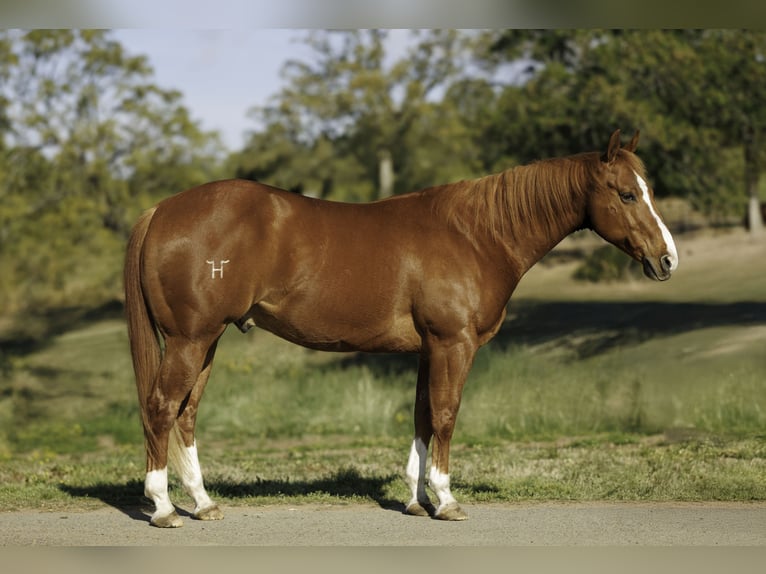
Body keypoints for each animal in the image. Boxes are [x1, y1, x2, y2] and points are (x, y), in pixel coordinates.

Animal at [124, 129, 678, 527]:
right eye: (627, 195)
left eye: (647, 190)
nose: (667, 259)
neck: (475, 235)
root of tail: (161, 210)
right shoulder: (454, 344)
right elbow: (447, 416)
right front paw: (446, 500)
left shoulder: (429, 349)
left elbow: (421, 417)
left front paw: (415, 499)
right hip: (190, 341)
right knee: (161, 408)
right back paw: (165, 508)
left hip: (206, 342)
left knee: (186, 414)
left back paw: (204, 503)